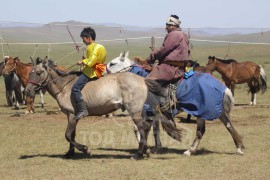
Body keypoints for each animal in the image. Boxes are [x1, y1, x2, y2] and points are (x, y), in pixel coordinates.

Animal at [25, 57, 182, 159]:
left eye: (38, 73)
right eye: (30, 72)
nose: (27, 91)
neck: (65, 86)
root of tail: (143, 79)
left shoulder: (72, 115)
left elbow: (68, 135)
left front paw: (86, 149)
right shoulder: (72, 117)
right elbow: (72, 135)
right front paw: (69, 154)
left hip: (134, 111)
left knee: (142, 127)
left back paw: (138, 154)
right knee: (147, 126)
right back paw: (145, 151)